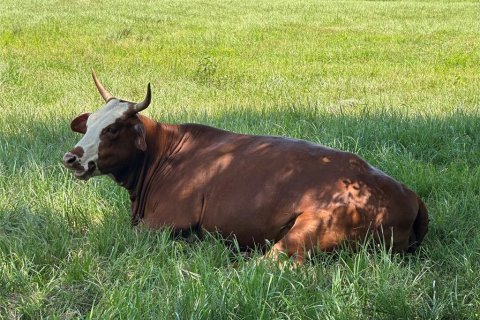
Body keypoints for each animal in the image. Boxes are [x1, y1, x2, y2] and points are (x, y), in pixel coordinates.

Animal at [62, 72, 428, 262]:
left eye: (112, 129)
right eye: (90, 123)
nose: (71, 157)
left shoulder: (166, 220)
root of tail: (409, 195)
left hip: (312, 228)